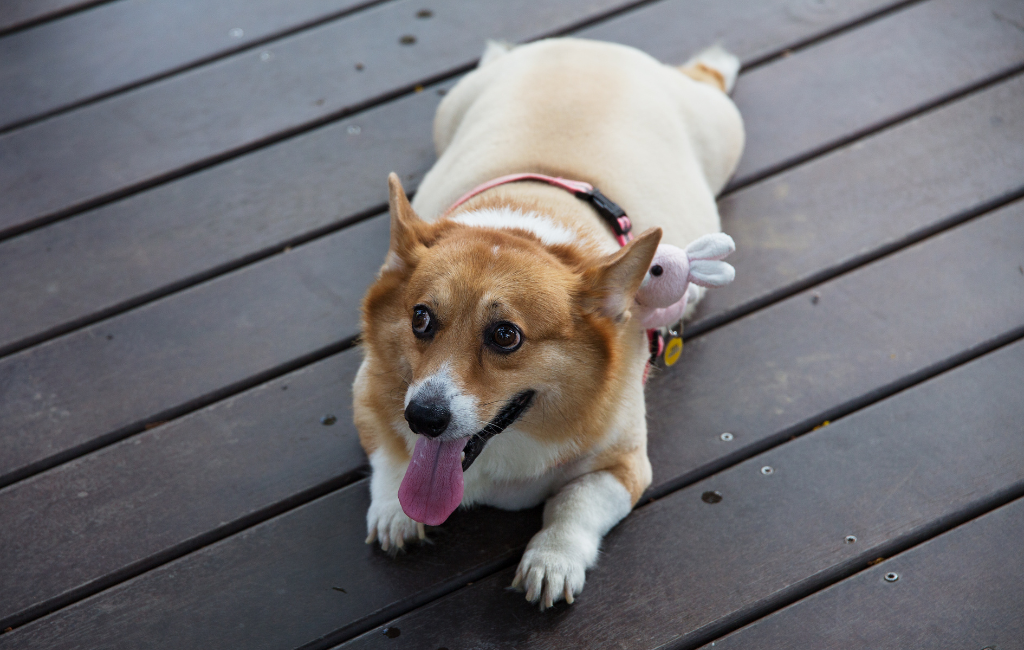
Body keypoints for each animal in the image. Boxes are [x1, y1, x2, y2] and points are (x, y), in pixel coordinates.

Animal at [354, 36, 745, 610]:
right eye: (421, 319)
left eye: (505, 336)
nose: (423, 417)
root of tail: (590, 44)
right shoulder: (369, 396)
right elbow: (388, 453)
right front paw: (394, 514)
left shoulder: (623, 467)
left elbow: (573, 506)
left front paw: (551, 562)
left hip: (723, 127)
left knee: (709, 77)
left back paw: (720, 62)